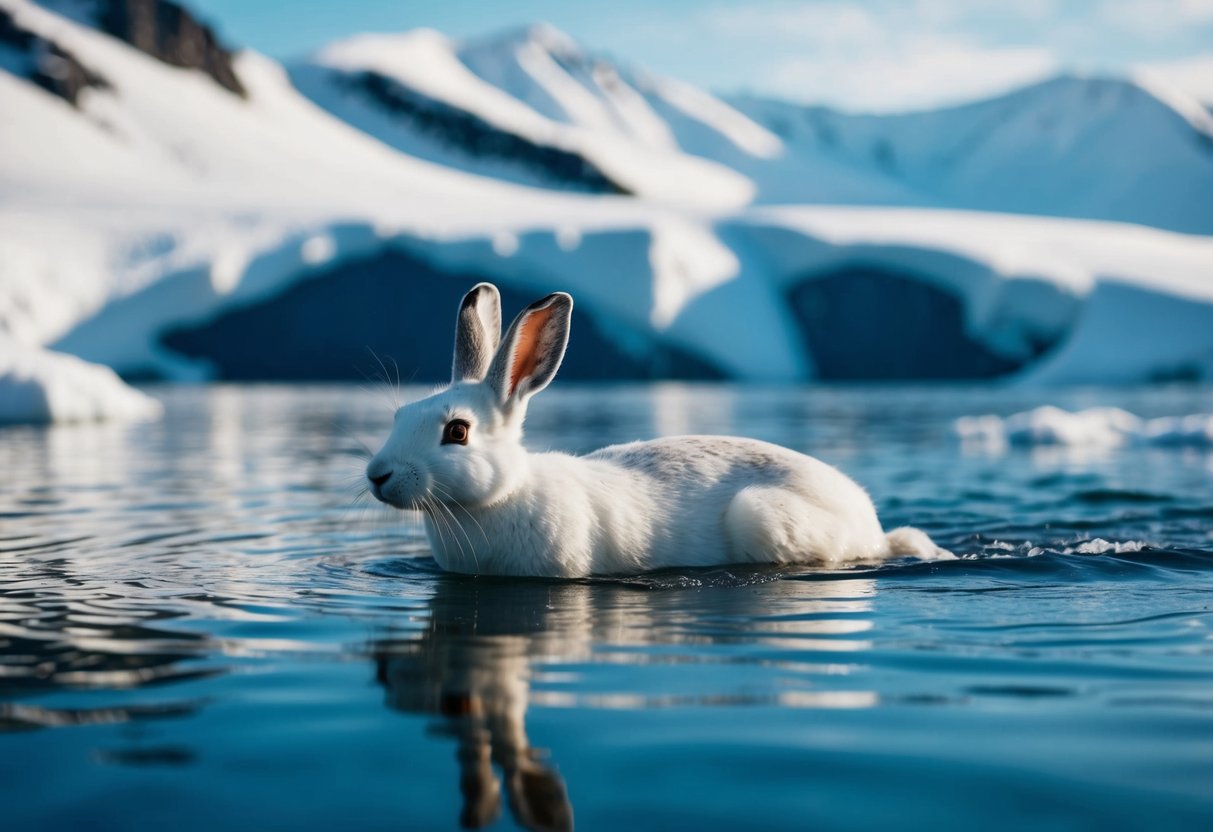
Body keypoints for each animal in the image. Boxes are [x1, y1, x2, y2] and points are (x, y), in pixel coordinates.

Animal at [366, 283, 952, 577]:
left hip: (765, 518)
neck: (498, 497)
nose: (377, 476)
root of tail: (870, 522)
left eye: (458, 432)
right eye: (398, 416)